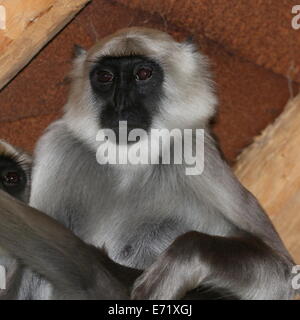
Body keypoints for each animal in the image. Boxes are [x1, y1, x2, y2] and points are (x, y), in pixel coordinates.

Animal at [18, 27, 296, 300]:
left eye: (143, 74)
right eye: (105, 77)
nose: (120, 104)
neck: (128, 160)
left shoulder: (194, 150)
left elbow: (283, 271)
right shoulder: (57, 146)